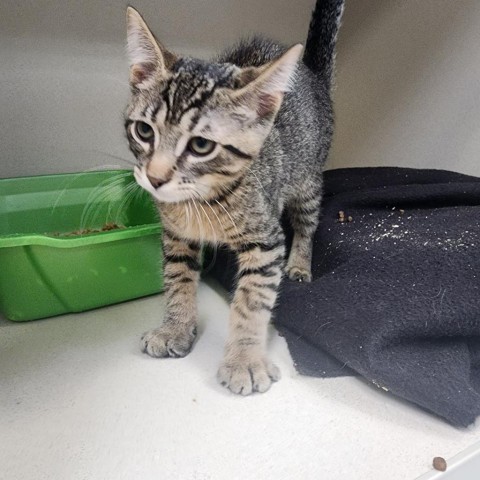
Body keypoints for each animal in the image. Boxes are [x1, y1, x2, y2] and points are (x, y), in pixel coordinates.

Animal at [124, 0, 344, 394]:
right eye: (144, 131)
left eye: (200, 145)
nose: (155, 178)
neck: (201, 200)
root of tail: (313, 77)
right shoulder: (176, 237)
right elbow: (177, 280)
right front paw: (175, 328)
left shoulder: (266, 242)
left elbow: (251, 300)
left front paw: (244, 360)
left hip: (306, 180)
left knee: (306, 223)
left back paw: (300, 263)